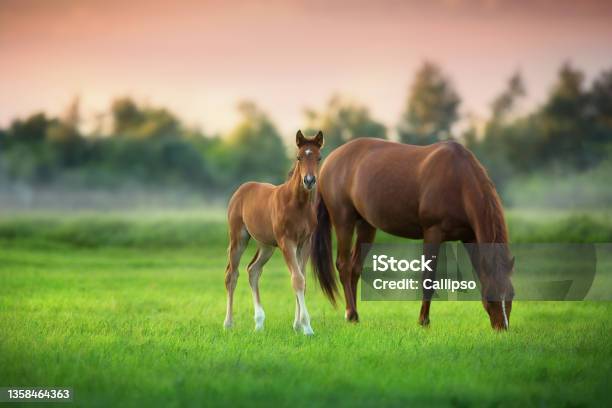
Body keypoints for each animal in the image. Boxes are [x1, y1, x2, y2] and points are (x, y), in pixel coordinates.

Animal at [221, 130, 326, 334]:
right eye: (299, 157)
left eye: (319, 157)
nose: (309, 181)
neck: (298, 205)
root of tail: (242, 188)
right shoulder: (287, 242)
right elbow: (297, 279)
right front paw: (307, 327)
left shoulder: (304, 243)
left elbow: (302, 280)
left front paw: (297, 325)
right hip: (239, 238)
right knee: (232, 275)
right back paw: (228, 323)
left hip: (266, 245)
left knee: (253, 270)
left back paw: (259, 323)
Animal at [314, 139, 512, 330]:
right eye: (491, 295)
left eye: (511, 294)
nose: (502, 328)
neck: (459, 179)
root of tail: (330, 160)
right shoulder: (433, 232)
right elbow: (428, 278)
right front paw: (423, 321)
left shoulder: (470, 237)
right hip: (343, 221)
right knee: (344, 265)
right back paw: (351, 314)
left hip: (366, 225)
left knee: (355, 268)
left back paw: (354, 317)